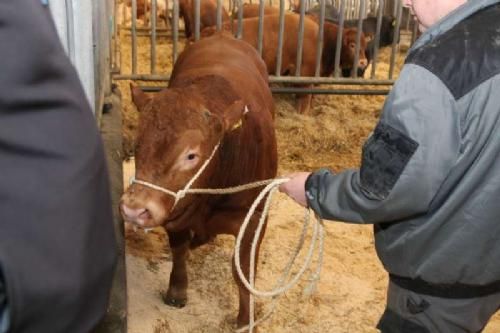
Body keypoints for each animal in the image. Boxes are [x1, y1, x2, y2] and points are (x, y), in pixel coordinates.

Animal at [119, 32, 280, 328]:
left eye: (191, 155)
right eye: (137, 144)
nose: (134, 209)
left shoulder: (255, 217)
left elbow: (243, 271)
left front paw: (245, 319)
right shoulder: (176, 211)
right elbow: (179, 248)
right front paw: (177, 290)